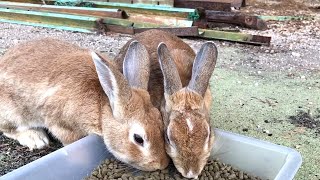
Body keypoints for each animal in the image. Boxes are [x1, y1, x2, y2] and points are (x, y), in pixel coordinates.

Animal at [0, 37, 170, 171]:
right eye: (138, 139)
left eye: (160, 122)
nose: (161, 164)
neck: (102, 106)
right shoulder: (62, 126)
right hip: (13, 113)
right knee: (9, 129)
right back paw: (36, 139)